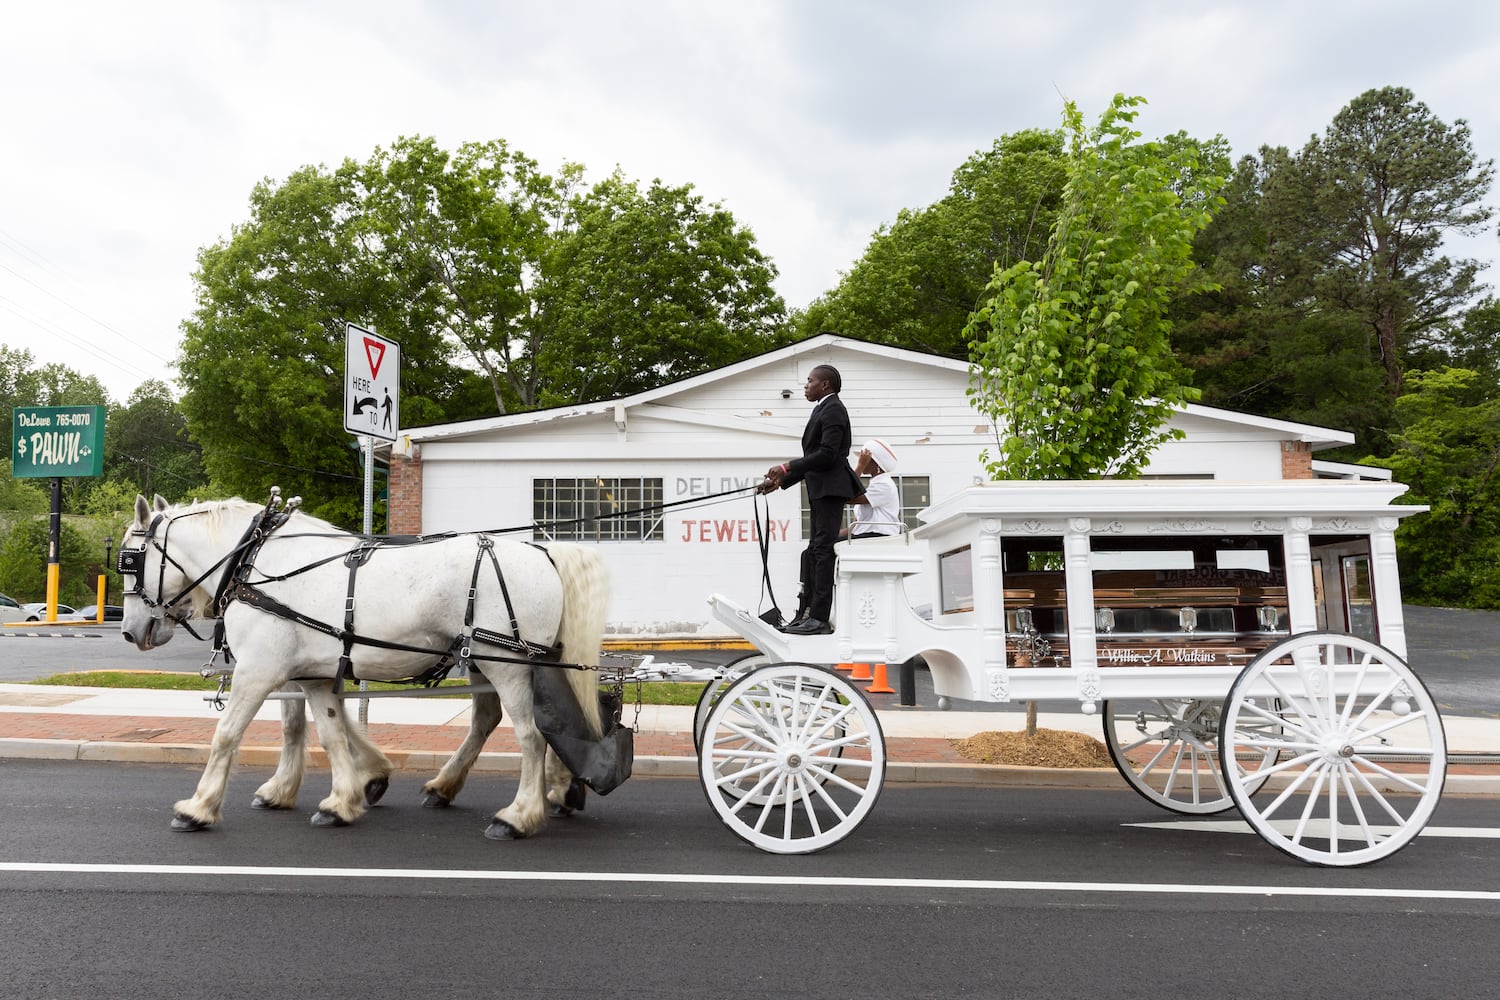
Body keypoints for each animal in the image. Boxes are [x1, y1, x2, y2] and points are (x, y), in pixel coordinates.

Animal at [120, 497, 606, 839]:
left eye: (131, 560)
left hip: (505, 664)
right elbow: (331, 733)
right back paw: (471, 787)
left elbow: (226, 736)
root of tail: (541, 553)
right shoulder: (314, 676)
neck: (255, 562)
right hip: (494, 661)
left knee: (531, 735)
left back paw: (519, 815)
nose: (129, 631)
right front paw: (343, 799)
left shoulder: (258, 670)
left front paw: (197, 808)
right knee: (501, 720)